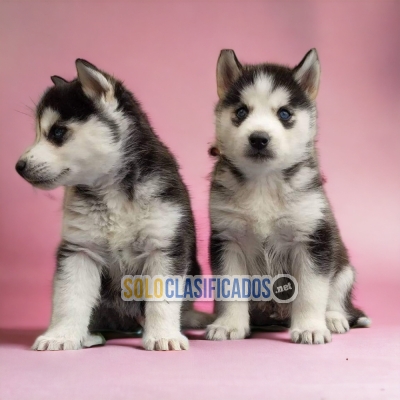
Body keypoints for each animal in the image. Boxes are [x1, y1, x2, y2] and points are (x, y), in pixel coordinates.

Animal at [15, 58, 209, 350]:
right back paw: (90, 335)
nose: (19, 166)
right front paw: (61, 335)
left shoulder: (164, 245)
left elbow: (162, 300)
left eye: (58, 132)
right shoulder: (79, 250)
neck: (111, 190)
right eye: (38, 133)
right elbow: (69, 299)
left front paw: (164, 335)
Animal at [208, 49, 370, 344]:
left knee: (336, 297)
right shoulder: (228, 239)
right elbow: (230, 288)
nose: (259, 138)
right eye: (241, 112)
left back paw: (333, 318)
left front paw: (309, 328)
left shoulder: (312, 240)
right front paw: (229, 324)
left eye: (284, 113)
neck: (264, 182)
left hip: (344, 268)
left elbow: (311, 291)